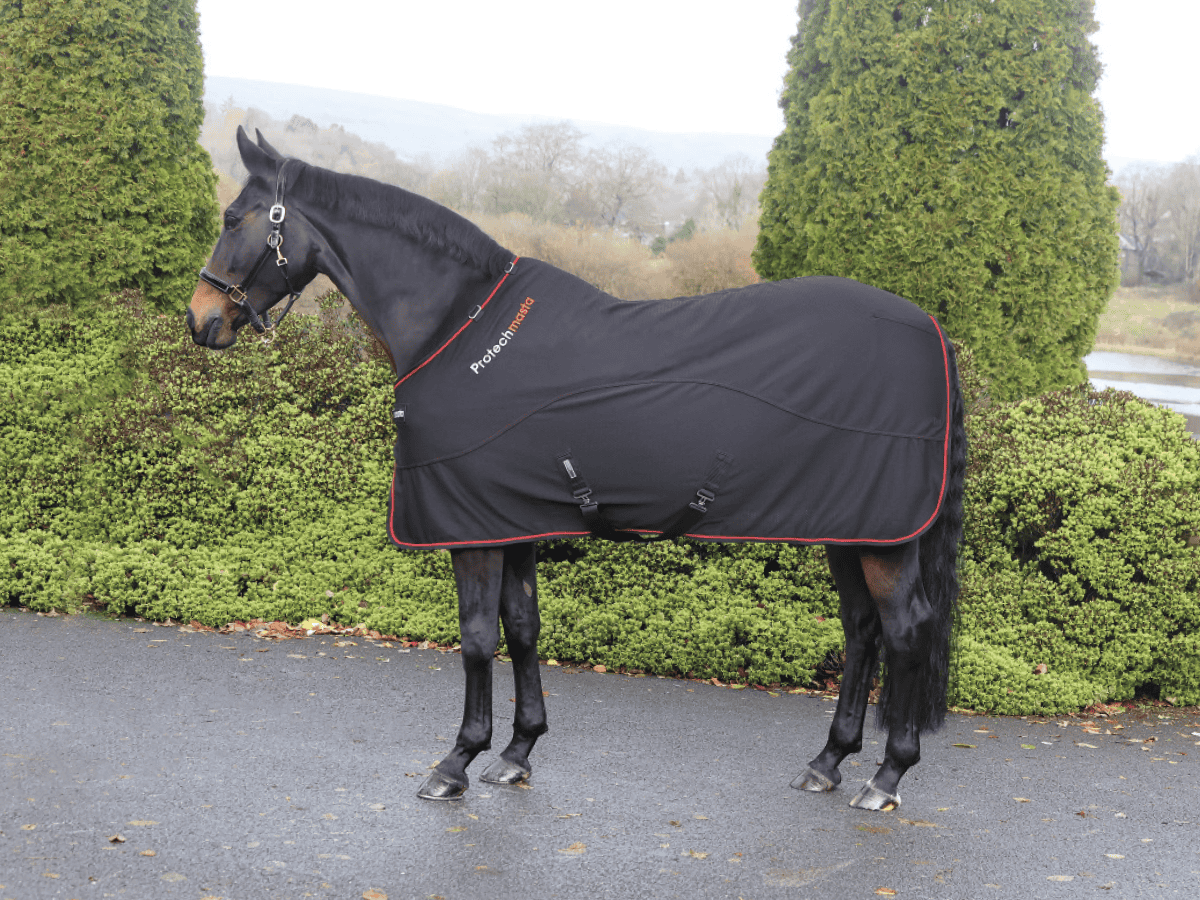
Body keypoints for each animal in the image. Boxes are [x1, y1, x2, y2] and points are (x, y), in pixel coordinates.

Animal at [188, 127, 965, 812]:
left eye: (233, 218)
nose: (200, 320)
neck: (457, 325)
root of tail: (930, 328)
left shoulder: (472, 530)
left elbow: (476, 638)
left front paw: (455, 762)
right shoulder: (506, 519)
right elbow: (523, 626)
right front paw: (517, 752)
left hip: (886, 538)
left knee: (905, 631)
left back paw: (886, 777)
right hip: (851, 526)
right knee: (861, 630)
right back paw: (828, 761)